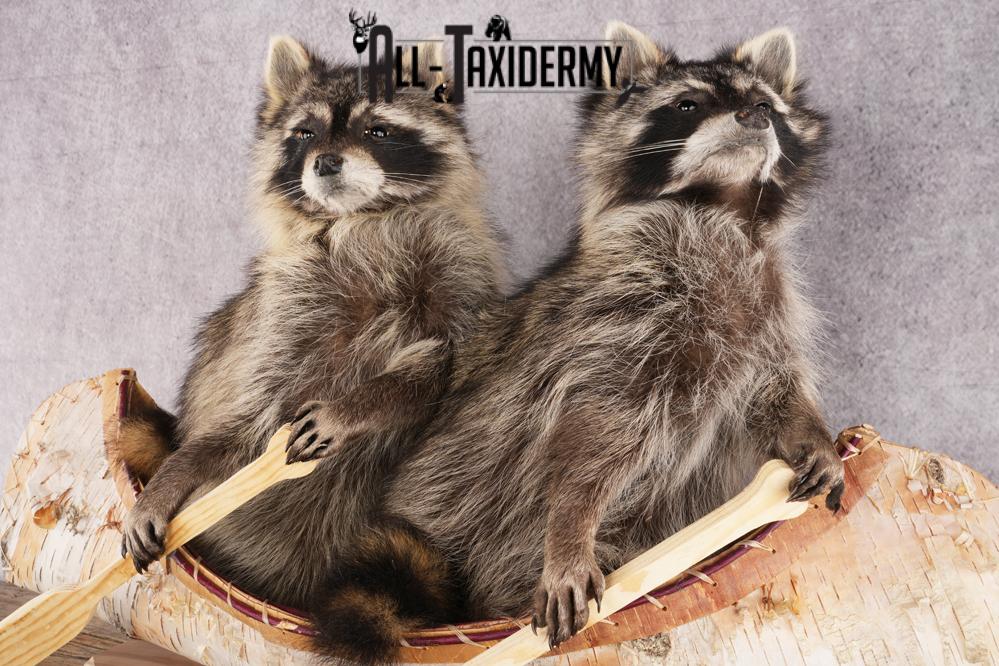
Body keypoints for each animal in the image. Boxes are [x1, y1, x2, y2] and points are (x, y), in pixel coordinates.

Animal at [120, 34, 503, 626]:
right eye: (305, 133)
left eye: (377, 130)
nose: (324, 162)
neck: (362, 219)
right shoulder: (282, 310)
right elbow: (244, 418)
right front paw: (178, 471)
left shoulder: (461, 278)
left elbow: (438, 371)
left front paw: (361, 404)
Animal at [326, 22, 842, 657]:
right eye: (688, 105)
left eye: (764, 104)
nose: (754, 117)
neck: (718, 207)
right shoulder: (627, 312)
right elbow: (594, 427)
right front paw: (571, 532)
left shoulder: (767, 304)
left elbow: (776, 388)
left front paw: (811, 432)